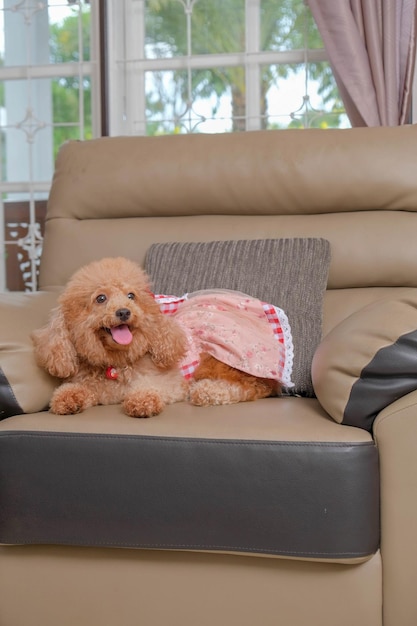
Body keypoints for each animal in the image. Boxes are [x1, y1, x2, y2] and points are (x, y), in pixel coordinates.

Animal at [31, 256, 188, 416]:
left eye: (131, 296)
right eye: (101, 298)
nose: (124, 312)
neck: (116, 363)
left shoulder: (173, 386)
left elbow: (154, 388)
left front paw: (143, 400)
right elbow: (77, 389)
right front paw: (68, 397)